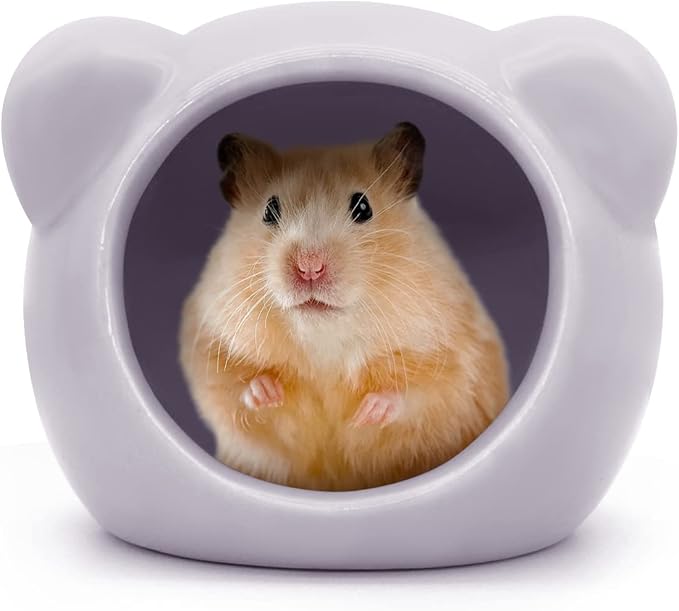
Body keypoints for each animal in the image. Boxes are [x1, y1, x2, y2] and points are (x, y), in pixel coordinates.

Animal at [179, 122, 509, 491]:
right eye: (269, 210)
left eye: (363, 208)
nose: (309, 267)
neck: (324, 338)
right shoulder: (207, 337)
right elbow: (226, 386)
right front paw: (267, 391)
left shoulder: (455, 353)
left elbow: (427, 393)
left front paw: (368, 413)